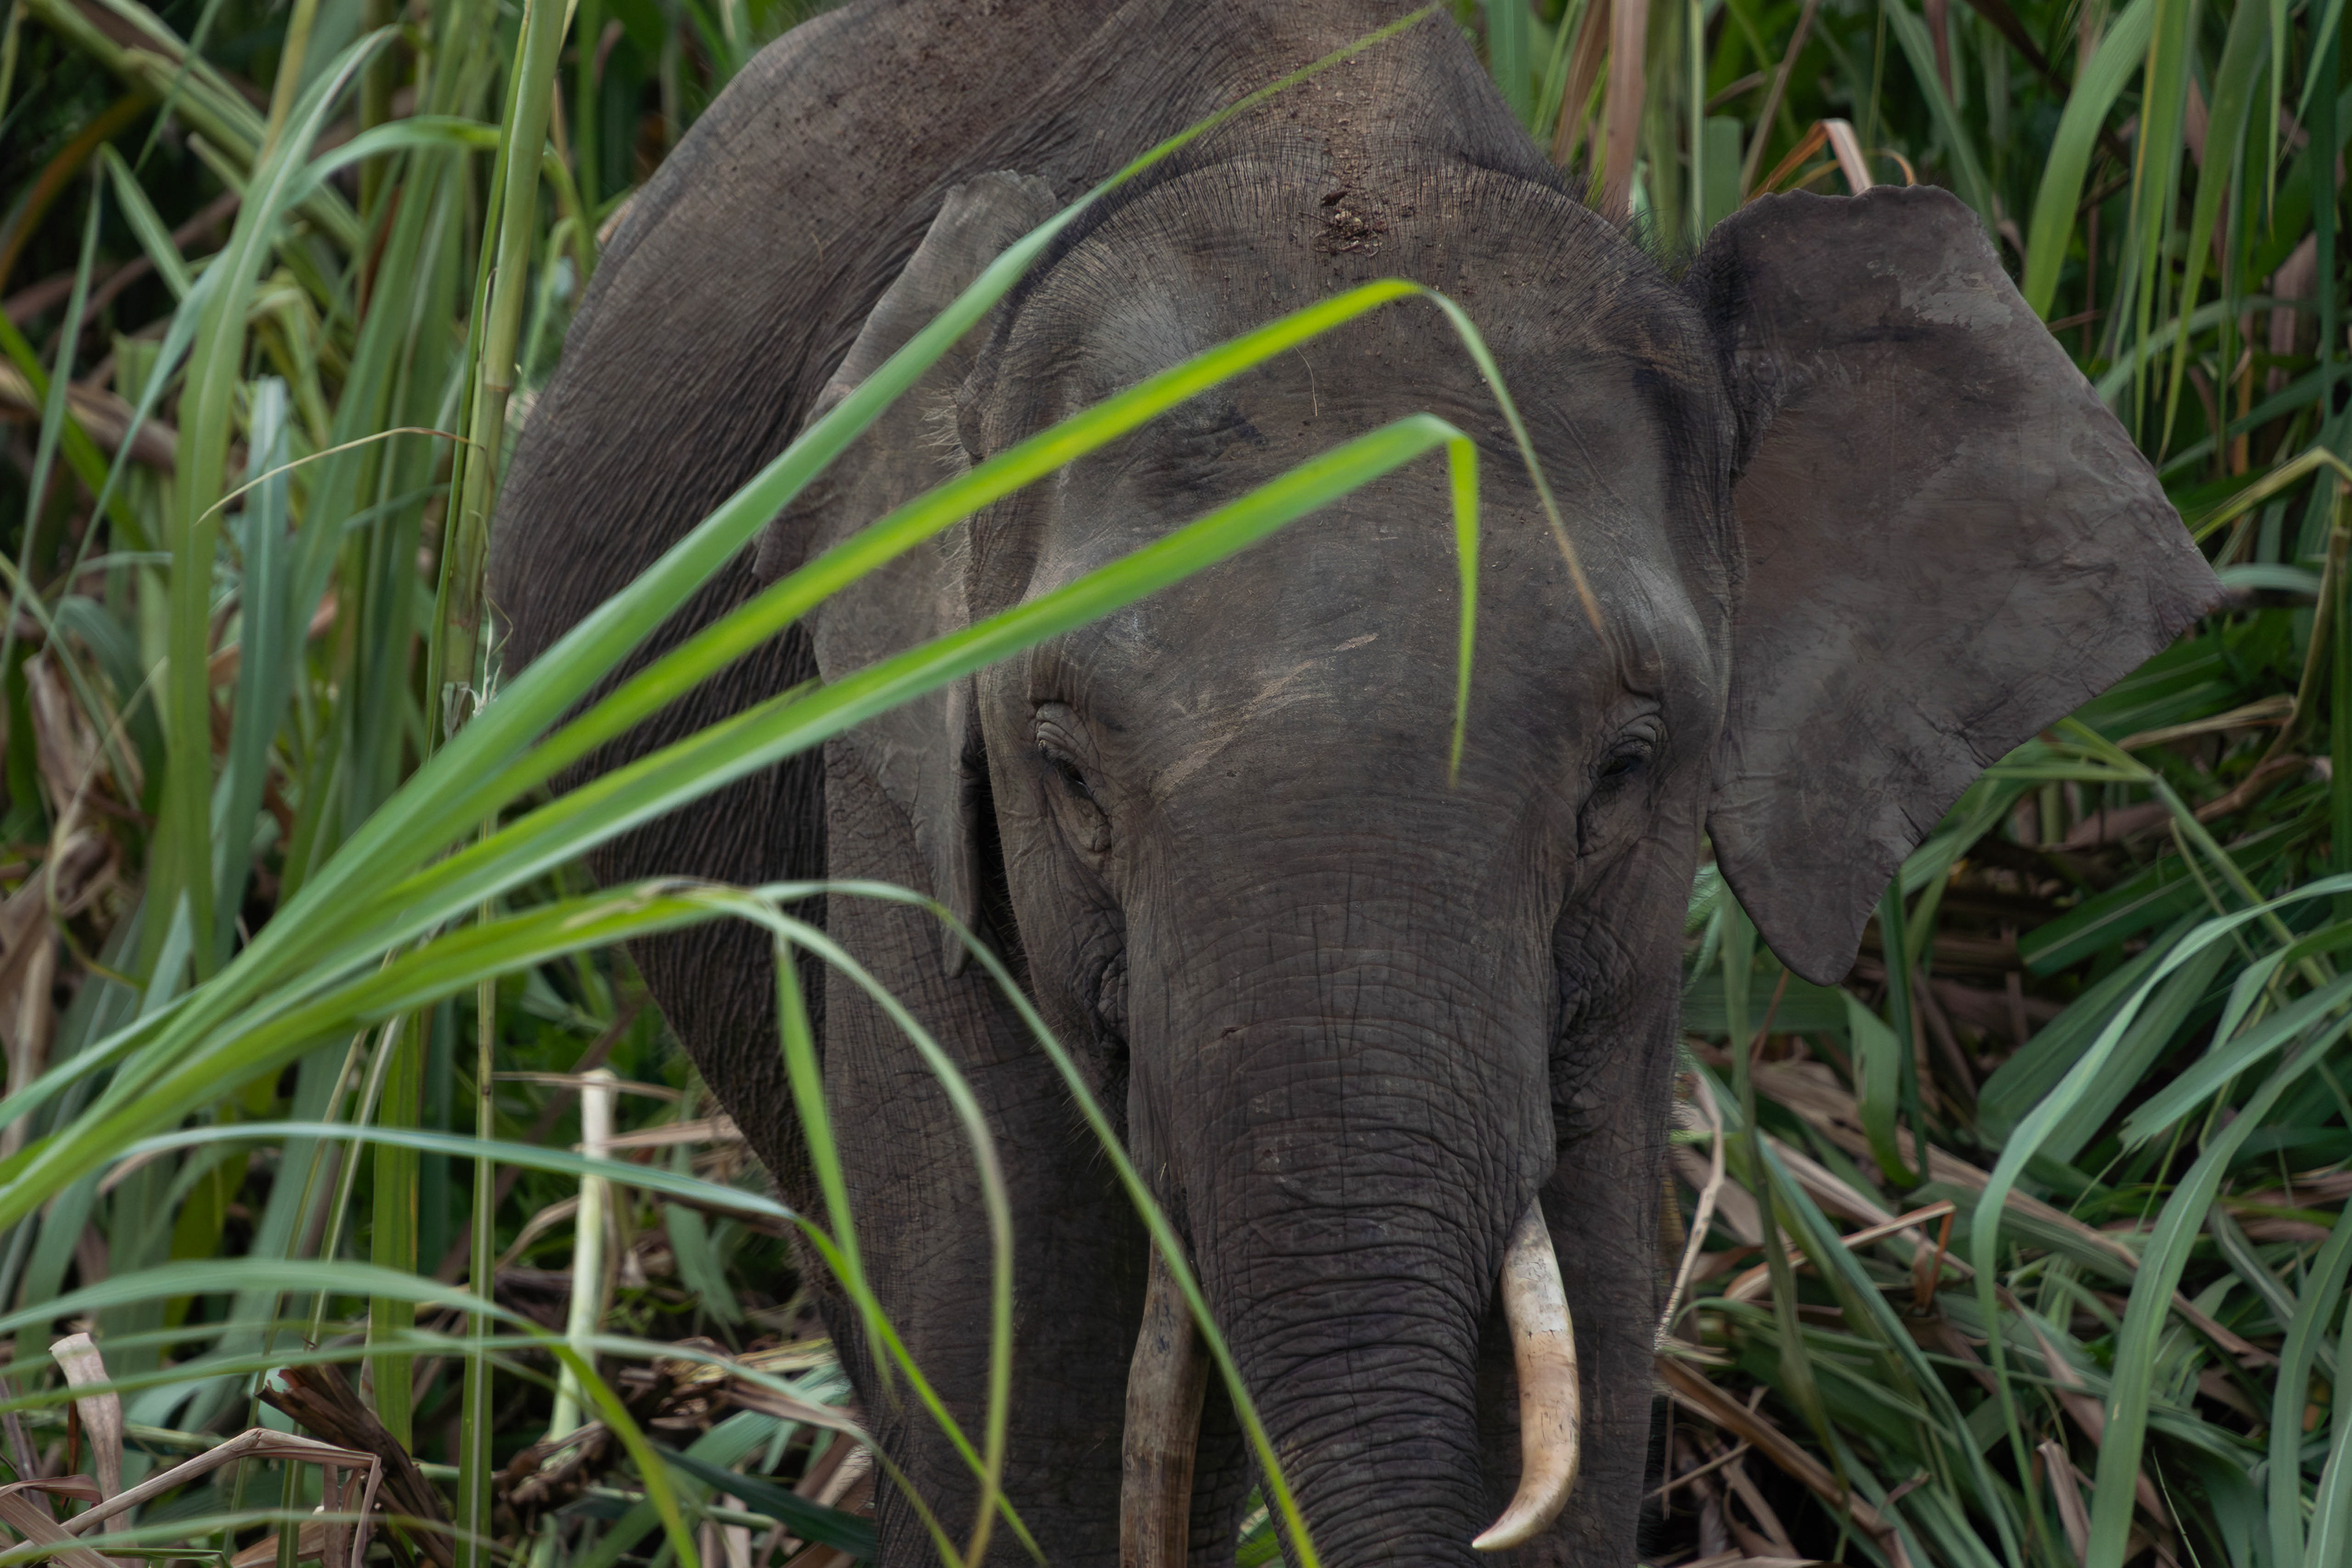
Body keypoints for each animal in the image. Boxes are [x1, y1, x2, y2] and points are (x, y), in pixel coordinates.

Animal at [487, 2, 2222, 1564]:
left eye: (1626, 766)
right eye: (1063, 768)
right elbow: (1018, 1387)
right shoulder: (901, 785)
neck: (1334, 128)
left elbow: (1584, 1340)